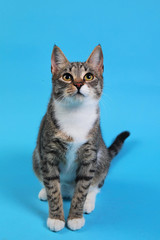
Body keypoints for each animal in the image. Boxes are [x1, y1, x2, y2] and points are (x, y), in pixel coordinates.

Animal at [32, 44, 130, 232]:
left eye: (88, 76)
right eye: (67, 77)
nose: (78, 83)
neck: (75, 114)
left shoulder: (90, 154)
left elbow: (83, 188)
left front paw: (75, 217)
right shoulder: (48, 153)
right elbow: (53, 187)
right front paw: (56, 217)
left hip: (102, 157)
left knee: (97, 185)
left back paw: (88, 202)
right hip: (36, 155)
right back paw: (44, 191)